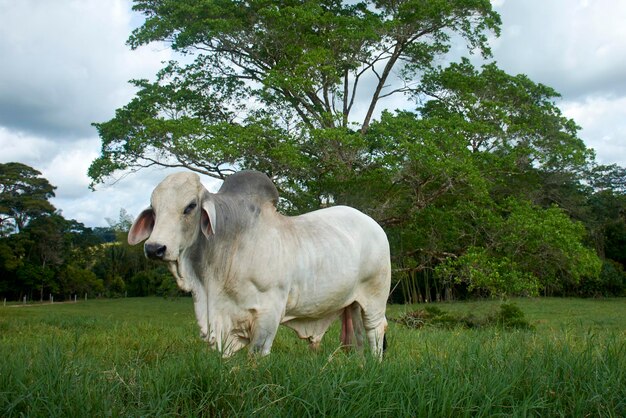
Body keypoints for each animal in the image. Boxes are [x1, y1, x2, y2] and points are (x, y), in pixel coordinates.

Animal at [128, 171, 390, 358]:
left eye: (190, 206)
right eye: (154, 209)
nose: (154, 248)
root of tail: (373, 224)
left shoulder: (269, 312)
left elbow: (256, 355)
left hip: (375, 298)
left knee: (375, 331)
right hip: (351, 303)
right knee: (357, 337)